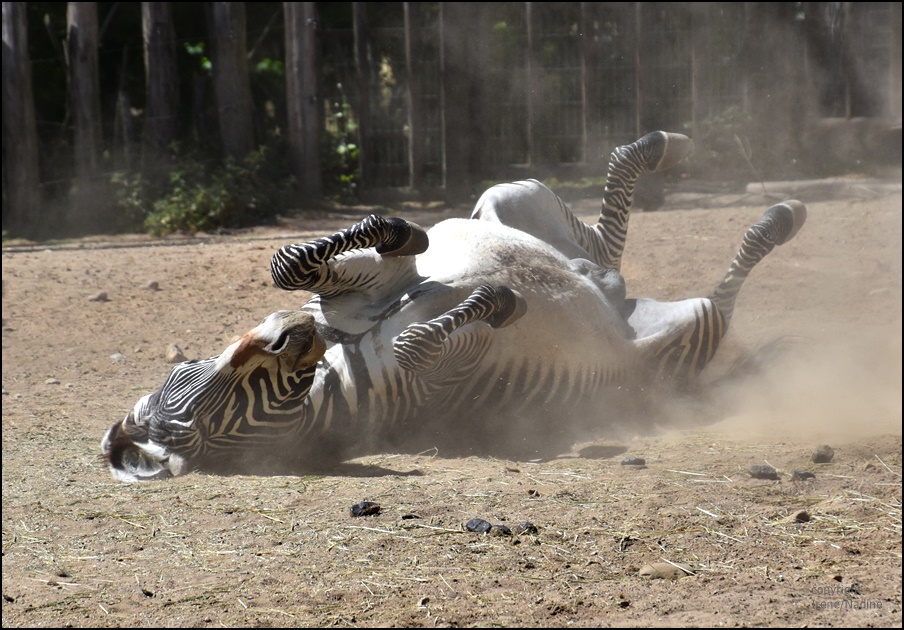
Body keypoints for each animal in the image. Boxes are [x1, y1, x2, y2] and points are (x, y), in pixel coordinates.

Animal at [102, 131, 808, 482]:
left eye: (187, 371)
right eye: (208, 420)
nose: (288, 332)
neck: (337, 369)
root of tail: (619, 301)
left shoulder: (361, 288)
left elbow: (292, 261)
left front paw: (399, 228)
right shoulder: (437, 381)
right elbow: (423, 341)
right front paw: (497, 299)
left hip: (508, 199)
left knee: (599, 239)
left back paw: (670, 149)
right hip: (683, 331)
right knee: (717, 291)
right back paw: (777, 219)